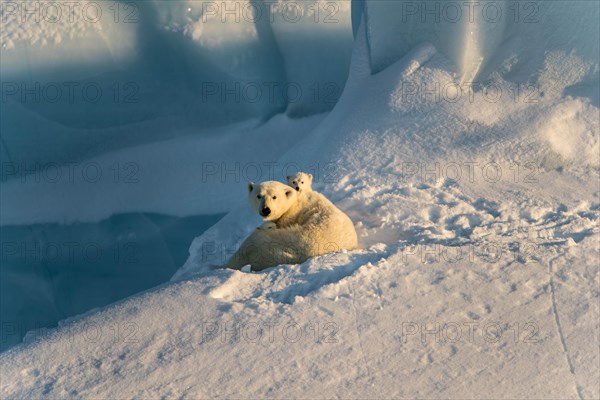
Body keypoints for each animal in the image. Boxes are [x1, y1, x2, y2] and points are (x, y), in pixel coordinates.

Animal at [224, 182, 356, 272]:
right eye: (258, 196)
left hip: (274, 248)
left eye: (274, 197)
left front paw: (267, 224)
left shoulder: (290, 217)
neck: (296, 200)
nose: (266, 210)